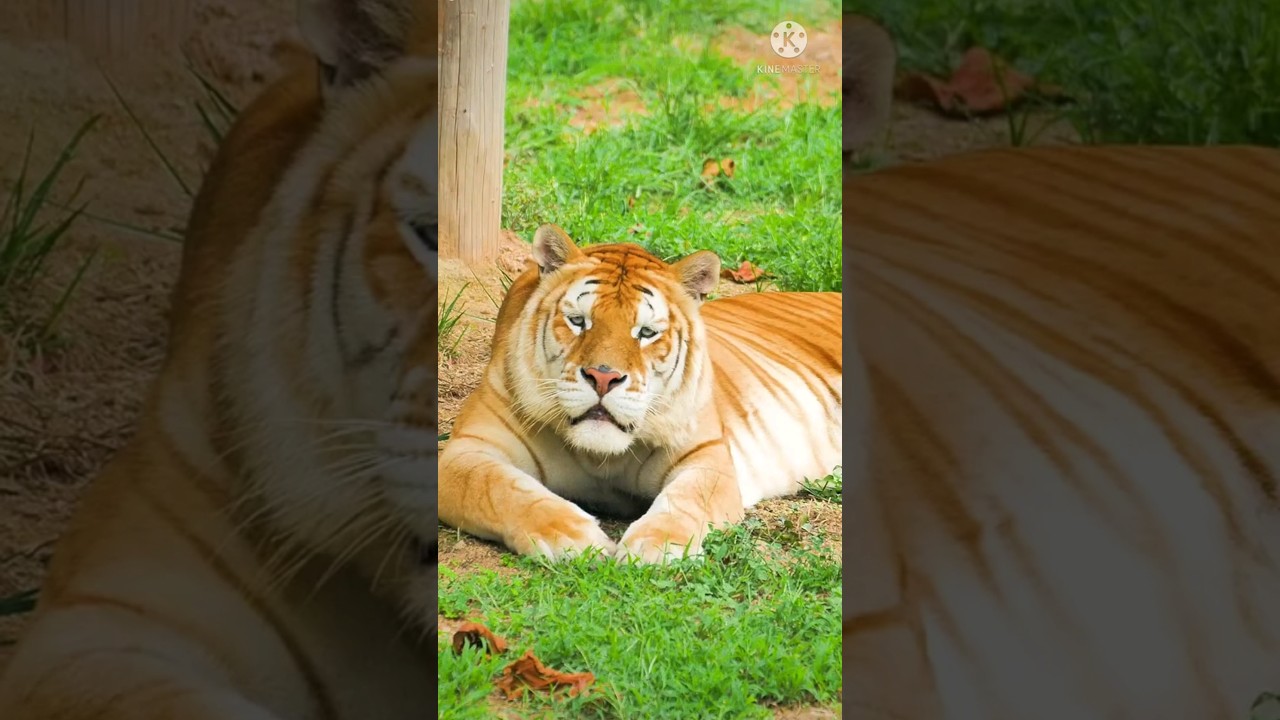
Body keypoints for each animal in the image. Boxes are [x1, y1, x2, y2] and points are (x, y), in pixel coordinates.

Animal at [437, 224, 843, 563]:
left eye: (646, 332)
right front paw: (572, 537)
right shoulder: (465, 452)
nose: (603, 377)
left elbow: (686, 500)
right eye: (578, 321)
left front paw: (656, 546)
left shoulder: (706, 458)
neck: (600, 460)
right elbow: (498, 491)